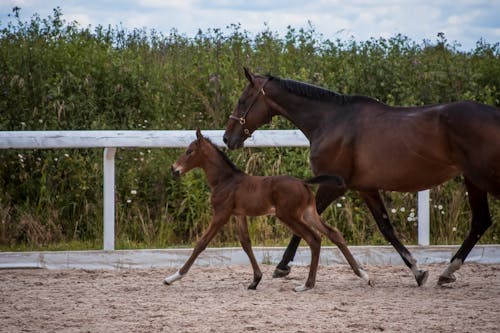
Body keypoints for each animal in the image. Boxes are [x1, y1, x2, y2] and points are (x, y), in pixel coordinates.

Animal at [162, 128, 370, 290]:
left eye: (189, 151)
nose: (173, 169)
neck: (225, 180)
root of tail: (303, 183)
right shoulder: (239, 215)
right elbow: (246, 243)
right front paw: (255, 280)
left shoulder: (221, 214)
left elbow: (201, 243)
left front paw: (173, 277)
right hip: (309, 213)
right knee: (333, 233)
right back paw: (363, 275)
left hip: (288, 216)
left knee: (314, 239)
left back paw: (306, 285)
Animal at [224, 67, 500, 286]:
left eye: (242, 100)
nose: (228, 138)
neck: (331, 121)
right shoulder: (366, 188)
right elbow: (386, 228)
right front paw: (417, 270)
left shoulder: (334, 185)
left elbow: (305, 224)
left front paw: (283, 267)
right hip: (473, 180)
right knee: (480, 222)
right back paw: (447, 272)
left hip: (483, 178)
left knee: (480, 221)